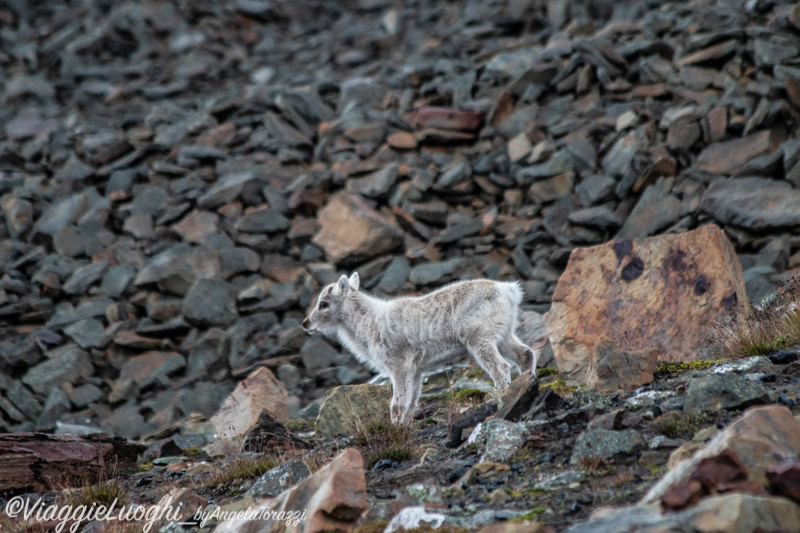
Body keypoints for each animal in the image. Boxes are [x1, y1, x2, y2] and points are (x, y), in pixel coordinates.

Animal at [302, 272, 536, 422]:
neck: (367, 323)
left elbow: (397, 405)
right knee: (526, 354)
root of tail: (508, 291)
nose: (306, 324)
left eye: (323, 303)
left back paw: (501, 399)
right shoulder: (416, 371)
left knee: (500, 367)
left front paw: (395, 428)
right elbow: (411, 403)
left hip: (480, 339)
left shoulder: (398, 367)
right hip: (505, 335)